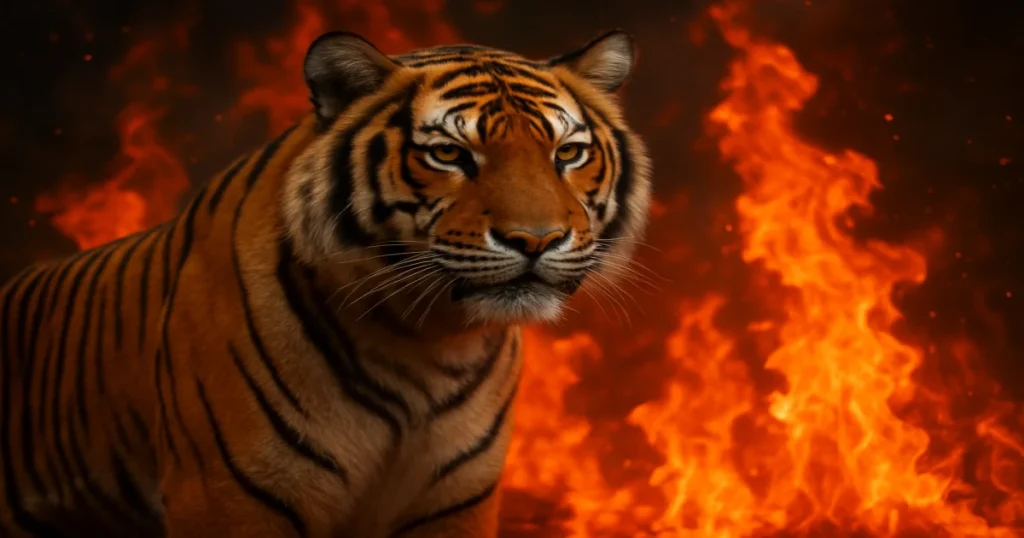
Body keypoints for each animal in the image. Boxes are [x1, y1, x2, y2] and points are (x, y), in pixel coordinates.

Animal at [0, 28, 651, 538]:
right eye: (448, 154)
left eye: (567, 153)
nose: (536, 240)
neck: (429, 343)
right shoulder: (227, 497)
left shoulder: (454, 503)